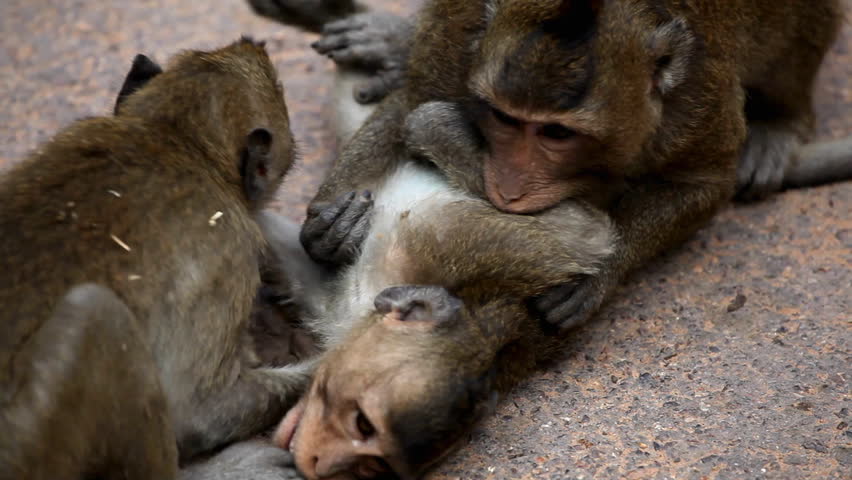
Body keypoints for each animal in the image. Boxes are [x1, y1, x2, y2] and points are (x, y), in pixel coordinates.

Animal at [252, 0, 847, 334]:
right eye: (503, 118)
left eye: (557, 133)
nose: (511, 188)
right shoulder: (461, 33)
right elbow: (409, 104)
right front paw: (328, 225)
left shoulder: (695, 94)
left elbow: (702, 180)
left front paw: (601, 275)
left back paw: (783, 121)